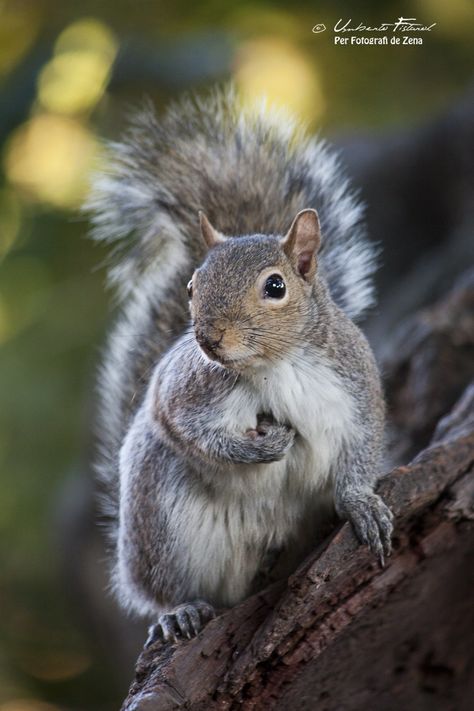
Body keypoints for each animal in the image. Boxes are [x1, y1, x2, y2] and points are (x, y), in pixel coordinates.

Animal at [85, 87, 392, 644]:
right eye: (191, 286)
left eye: (276, 286)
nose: (207, 338)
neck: (273, 364)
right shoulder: (181, 391)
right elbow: (191, 430)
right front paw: (262, 447)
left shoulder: (356, 386)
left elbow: (361, 449)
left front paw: (363, 505)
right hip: (159, 518)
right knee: (162, 588)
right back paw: (179, 611)